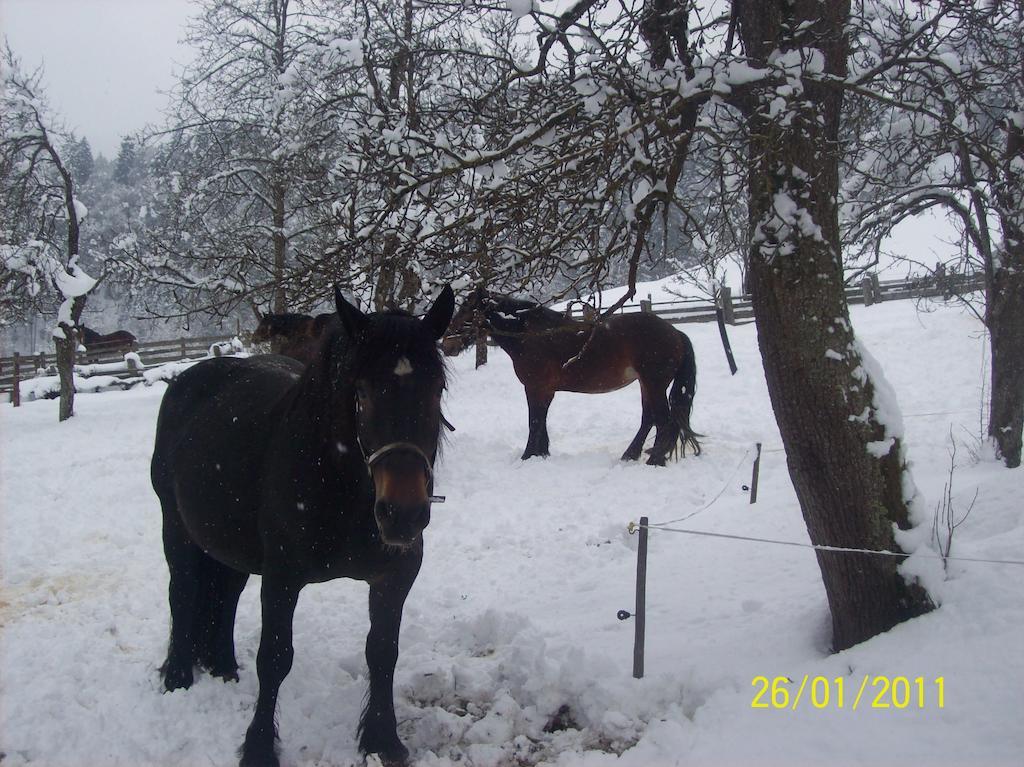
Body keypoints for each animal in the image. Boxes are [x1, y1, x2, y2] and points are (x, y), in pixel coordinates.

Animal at [149, 284, 454, 761]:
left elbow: (383, 652)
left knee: (225, 596)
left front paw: (383, 740)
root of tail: (188, 380)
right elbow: (274, 659)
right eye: (362, 392)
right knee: (182, 592)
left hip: (231, 546)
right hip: (176, 528)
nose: (403, 514)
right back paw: (178, 674)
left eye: (436, 388)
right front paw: (258, 748)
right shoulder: (282, 578)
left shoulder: (395, 576)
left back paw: (223, 666)